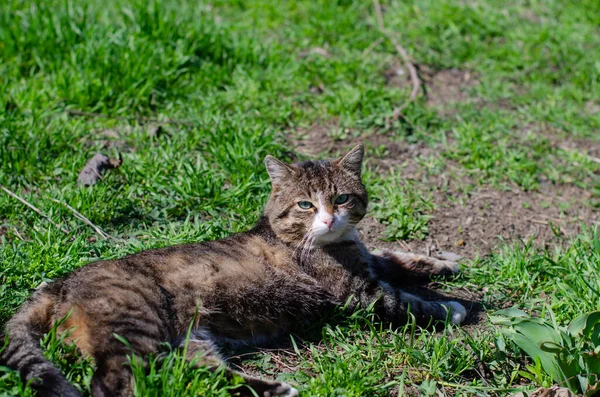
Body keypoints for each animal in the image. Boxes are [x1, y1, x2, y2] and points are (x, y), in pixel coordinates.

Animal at [1, 144, 464, 394]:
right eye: (305, 205)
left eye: (343, 198)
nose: (330, 219)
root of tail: (60, 282)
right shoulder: (358, 292)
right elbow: (405, 300)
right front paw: (454, 307)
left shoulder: (368, 258)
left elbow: (395, 258)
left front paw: (442, 262)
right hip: (134, 325)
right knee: (117, 381)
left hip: (189, 339)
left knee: (194, 374)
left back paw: (274, 389)